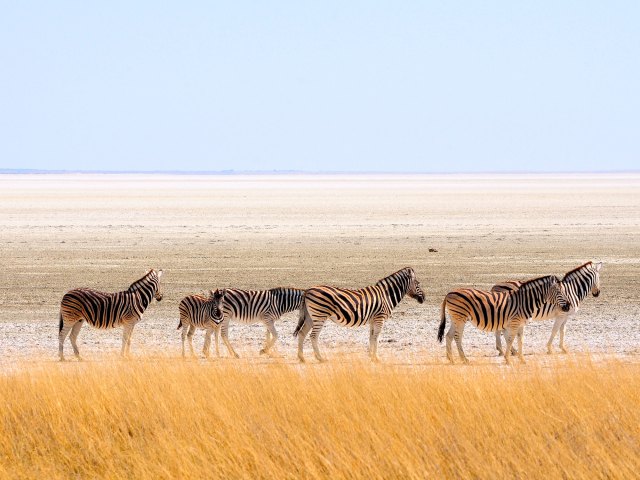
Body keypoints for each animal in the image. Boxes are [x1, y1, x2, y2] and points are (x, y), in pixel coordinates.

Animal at [440, 276, 568, 366]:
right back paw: (464, 359)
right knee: (457, 337)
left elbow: (520, 340)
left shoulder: (521, 324)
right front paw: (508, 359)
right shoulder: (515, 322)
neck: (525, 301)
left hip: (455, 318)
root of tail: (449, 293)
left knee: (448, 336)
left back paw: (451, 359)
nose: (568, 306)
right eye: (559, 292)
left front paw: (522, 359)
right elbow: (510, 340)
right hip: (460, 318)